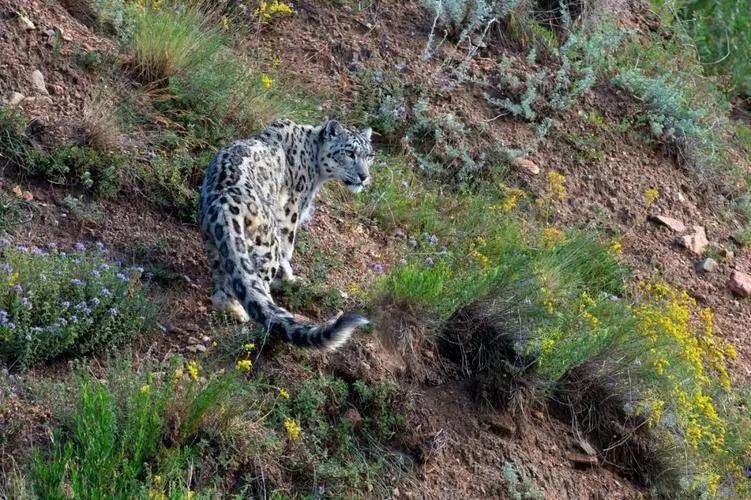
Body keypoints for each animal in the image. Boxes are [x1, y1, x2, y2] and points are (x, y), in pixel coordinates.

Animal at [200, 118, 376, 350]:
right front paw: (290, 279)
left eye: (370, 155)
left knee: (223, 288)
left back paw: (234, 310)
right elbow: (288, 248)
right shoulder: (291, 212)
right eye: (350, 153)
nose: (364, 177)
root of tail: (223, 204)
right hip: (267, 245)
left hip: (216, 245)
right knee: (259, 284)